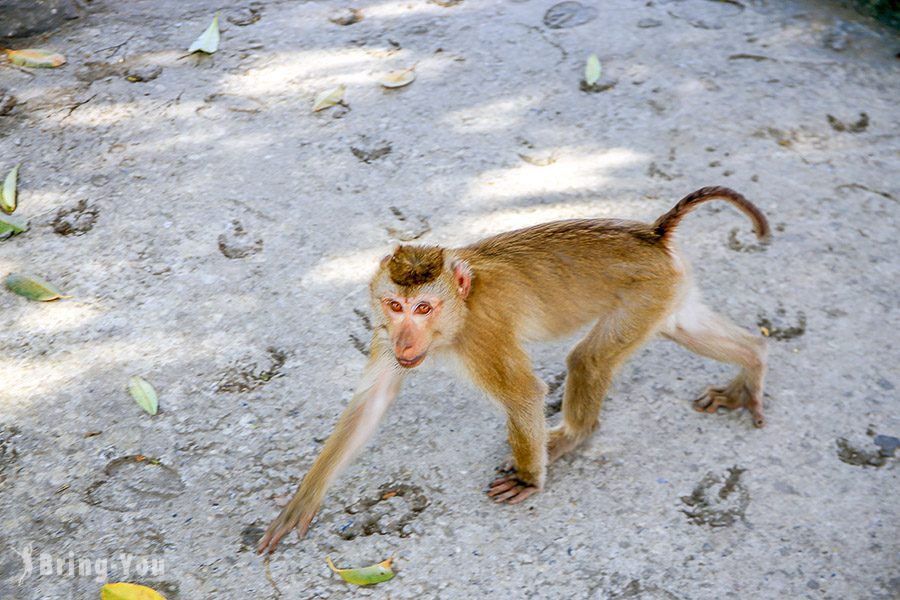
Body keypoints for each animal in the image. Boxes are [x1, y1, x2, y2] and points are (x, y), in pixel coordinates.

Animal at [256, 186, 768, 552]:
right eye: (395, 305)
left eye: (423, 308)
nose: (405, 338)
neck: (459, 310)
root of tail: (653, 233)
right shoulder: (384, 337)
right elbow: (371, 404)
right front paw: (303, 500)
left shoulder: (481, 336)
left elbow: (523, 393)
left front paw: (528, 479)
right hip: (667, 293)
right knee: (682, 328)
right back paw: (754, 360)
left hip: (647, 293)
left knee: (587, 360)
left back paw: (567, 439)